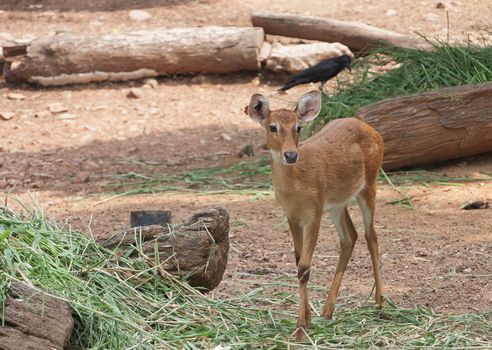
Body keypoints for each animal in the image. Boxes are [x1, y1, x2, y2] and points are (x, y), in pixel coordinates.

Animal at [246, 90, 384, 342]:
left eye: (298, 127)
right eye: (272, 127)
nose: (291, 155)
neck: (296, 186)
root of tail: (371, 129)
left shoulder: (314, 211)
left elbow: (304, 267)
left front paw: (301, 328)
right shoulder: (291, 215)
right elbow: (298, 261)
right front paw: (307, 320)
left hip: (370, 184)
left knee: (371, 235)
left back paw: (380, 301)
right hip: (337, 204)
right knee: (350, 236)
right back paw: (328, 310)